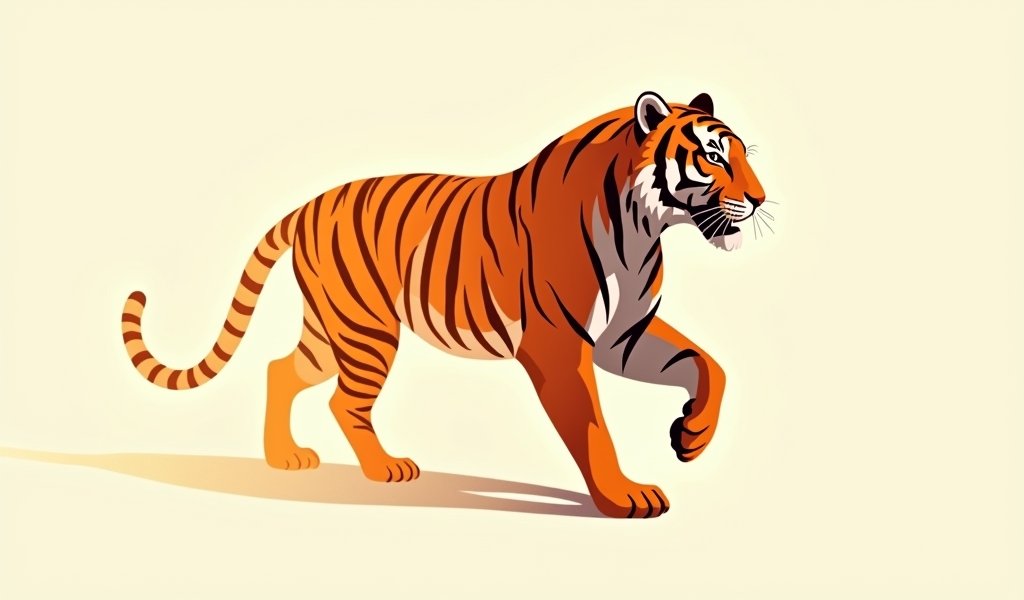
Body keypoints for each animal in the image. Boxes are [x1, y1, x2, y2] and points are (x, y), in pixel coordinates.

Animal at [120, 91, 766, 519]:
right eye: (713, 157)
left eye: (742, 154)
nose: (761, 200)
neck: (643, 229)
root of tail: (306, 205)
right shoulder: (560, 349)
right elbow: (592, 429)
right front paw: (623, 496)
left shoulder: (623, 337)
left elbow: (709, 365)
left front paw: (692, 436)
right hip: (366, 331)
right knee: (343, 402)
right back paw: (383, 469)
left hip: (332, 330)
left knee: (282, 370)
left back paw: (284, 458)